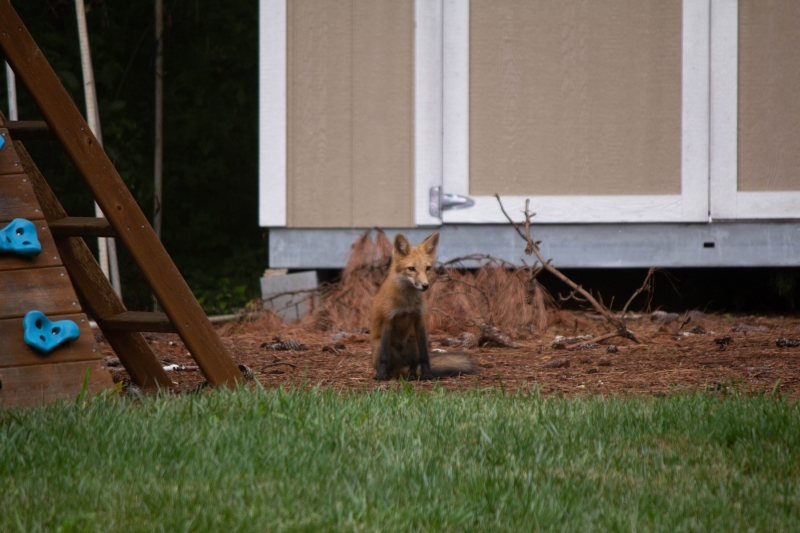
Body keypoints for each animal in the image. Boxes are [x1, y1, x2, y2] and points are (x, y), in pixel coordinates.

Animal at [371, 232, 476, 380]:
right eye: (411, 269)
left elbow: (424, 355)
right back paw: (388, 374)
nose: (425, 286)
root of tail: (400, 369)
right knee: (388, 363)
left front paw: (427, 374)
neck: (407, 303)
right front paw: (380, 375)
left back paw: (413, 375)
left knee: (415, 364)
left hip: (413, 342)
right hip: (378, 344)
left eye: (427, 268)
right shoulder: (388, 320)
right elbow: (384, 356)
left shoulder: (419, 320)